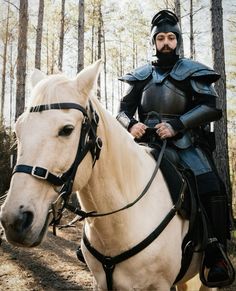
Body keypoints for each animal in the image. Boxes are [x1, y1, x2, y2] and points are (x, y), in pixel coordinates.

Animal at [0, 60, 218, 290]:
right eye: (18, 130)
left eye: (67, 129)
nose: (14, 220)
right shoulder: (101, 283)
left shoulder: (159, 285)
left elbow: (208, 106)